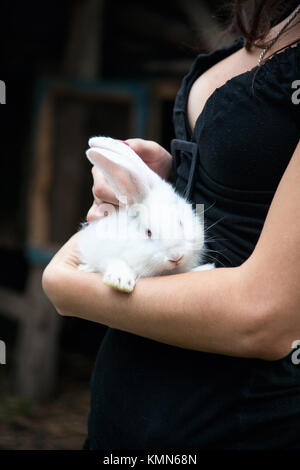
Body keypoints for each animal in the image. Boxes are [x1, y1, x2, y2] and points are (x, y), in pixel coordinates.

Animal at [77, 136, 213, 292]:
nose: (175, 256)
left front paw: (206, 268)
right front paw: (119, 281)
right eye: (148, 232)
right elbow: (116, 262)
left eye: (180, 222)